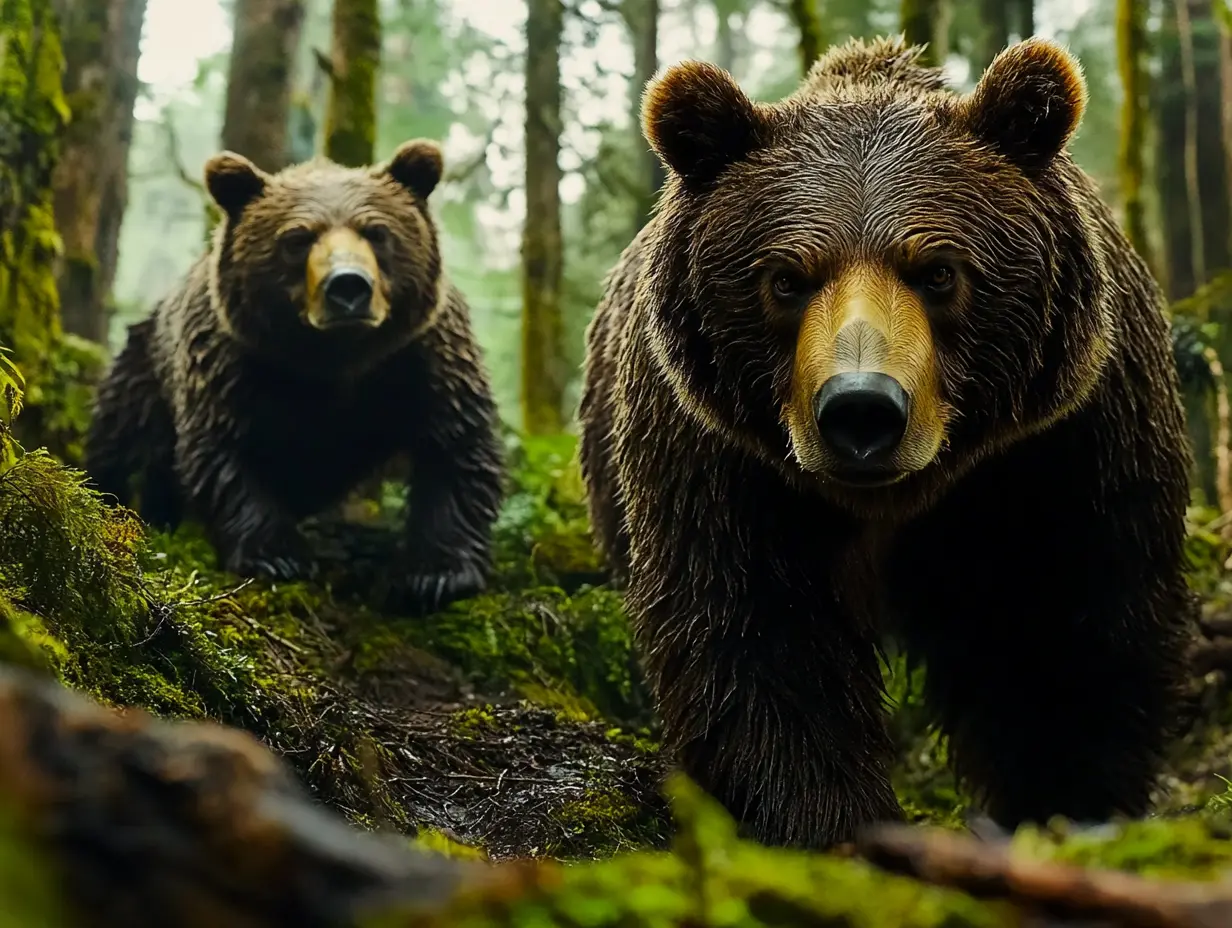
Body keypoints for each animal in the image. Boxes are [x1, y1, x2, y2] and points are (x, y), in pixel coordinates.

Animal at [84, 140, 506, 613]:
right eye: (297, 238)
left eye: (377, 232)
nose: (348, 286)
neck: (333, 360)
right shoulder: (233, 363)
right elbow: (226, 451)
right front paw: (278, 555)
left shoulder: (421, 358)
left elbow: (456, 447)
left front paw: (435, 575)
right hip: (143, 376)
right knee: (122, 447)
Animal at [577, 35, 1195, 850]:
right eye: (785, 277)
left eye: (938, 271)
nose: (862, 410)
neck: (899, 496)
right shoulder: (720, 456)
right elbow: (757, 634)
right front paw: (826, 821)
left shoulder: (1062, 440)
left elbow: (1065, 622)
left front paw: (1066, 805)